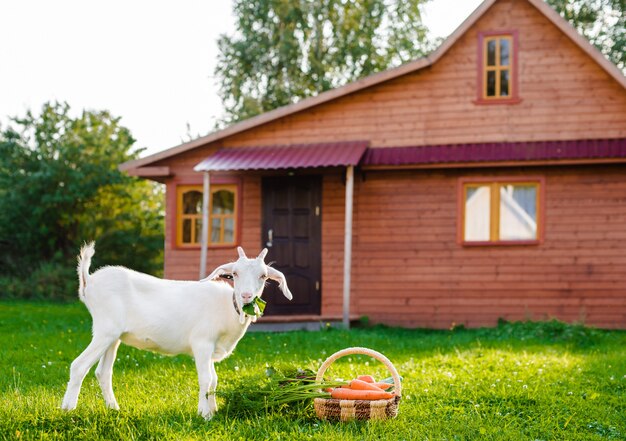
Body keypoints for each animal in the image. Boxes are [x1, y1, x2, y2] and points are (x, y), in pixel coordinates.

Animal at [59, 244, 292, 420]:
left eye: (263, 276)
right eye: (234, 273)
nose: (246, 296)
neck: (228, 308)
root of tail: (89, 281)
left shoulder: (211, 348)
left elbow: (214, 380)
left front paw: (214, 410)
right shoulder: (202, 342)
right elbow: (206, 378)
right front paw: (204, 415)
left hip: (112, 336)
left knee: (103, 372)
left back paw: (114, 409)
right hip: (105, 329)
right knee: (79, 365)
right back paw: (68, 409)